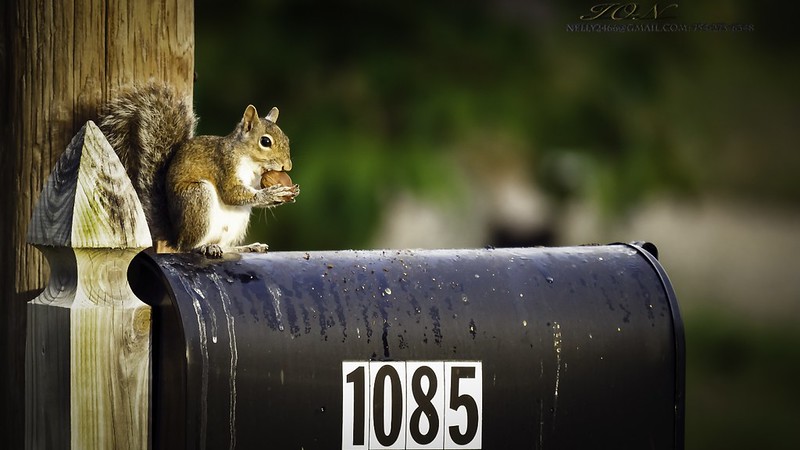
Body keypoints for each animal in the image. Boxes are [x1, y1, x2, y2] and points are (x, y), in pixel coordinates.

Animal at [98, 82, 299, 258]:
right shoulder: (224, 166)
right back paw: (204, 247)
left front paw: (288, 192)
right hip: (198, 197)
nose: (287, 166)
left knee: (225, 246)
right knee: (187, 247)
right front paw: (271, 193)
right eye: (265, 141)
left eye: (287, 139)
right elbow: (231, 193)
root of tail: (176, 236)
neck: (251, 164)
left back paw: (246, 247)